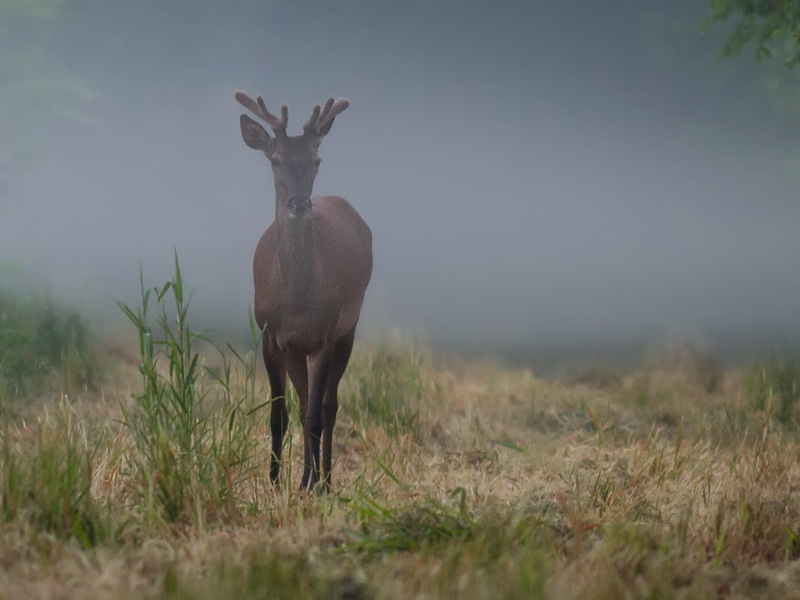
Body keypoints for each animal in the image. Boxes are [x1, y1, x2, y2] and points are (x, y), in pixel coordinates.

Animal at [236, 90, 374, 492]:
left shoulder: (324, 334)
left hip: (349, 326)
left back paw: (324, 479)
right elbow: (279, 413)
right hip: (298, 348)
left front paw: (311, 485)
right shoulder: (272, 335)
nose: (299, 204)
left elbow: (315, 415)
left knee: (328, 405)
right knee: (303, 405)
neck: (297, 299)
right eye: (275, 160)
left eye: (316, 160)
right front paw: (275, 481)